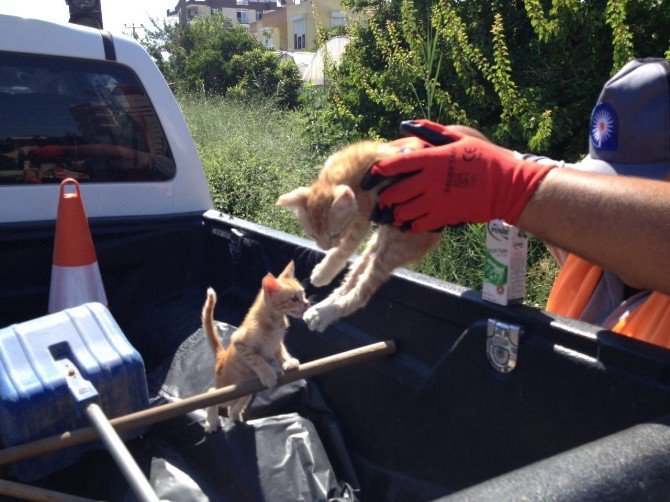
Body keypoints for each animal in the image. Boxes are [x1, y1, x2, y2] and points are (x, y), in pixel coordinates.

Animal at [203, 258, 312, 432]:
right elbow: (257, 359)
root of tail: (221, 357)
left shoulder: (277, 343)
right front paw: (267, 374)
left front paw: (288, 361)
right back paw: (212, 421)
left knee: (234, 406)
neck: (275, 322)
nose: (307, 304)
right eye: (294, 298)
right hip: (226, 390)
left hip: (245, 392)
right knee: (212, 393)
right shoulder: (239, 342)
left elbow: (282, 352)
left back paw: (237, 416)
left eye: (303, 294)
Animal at [276, 139, 444, 332]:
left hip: (395, 247)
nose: (325, 247)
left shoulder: (362, 219)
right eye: (313, 235)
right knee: (352, 278)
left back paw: (324, 315)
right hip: (380, 240)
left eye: (335, 233)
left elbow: (343, 250)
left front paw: (322, 274)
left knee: (361, 294)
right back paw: (318, 311)